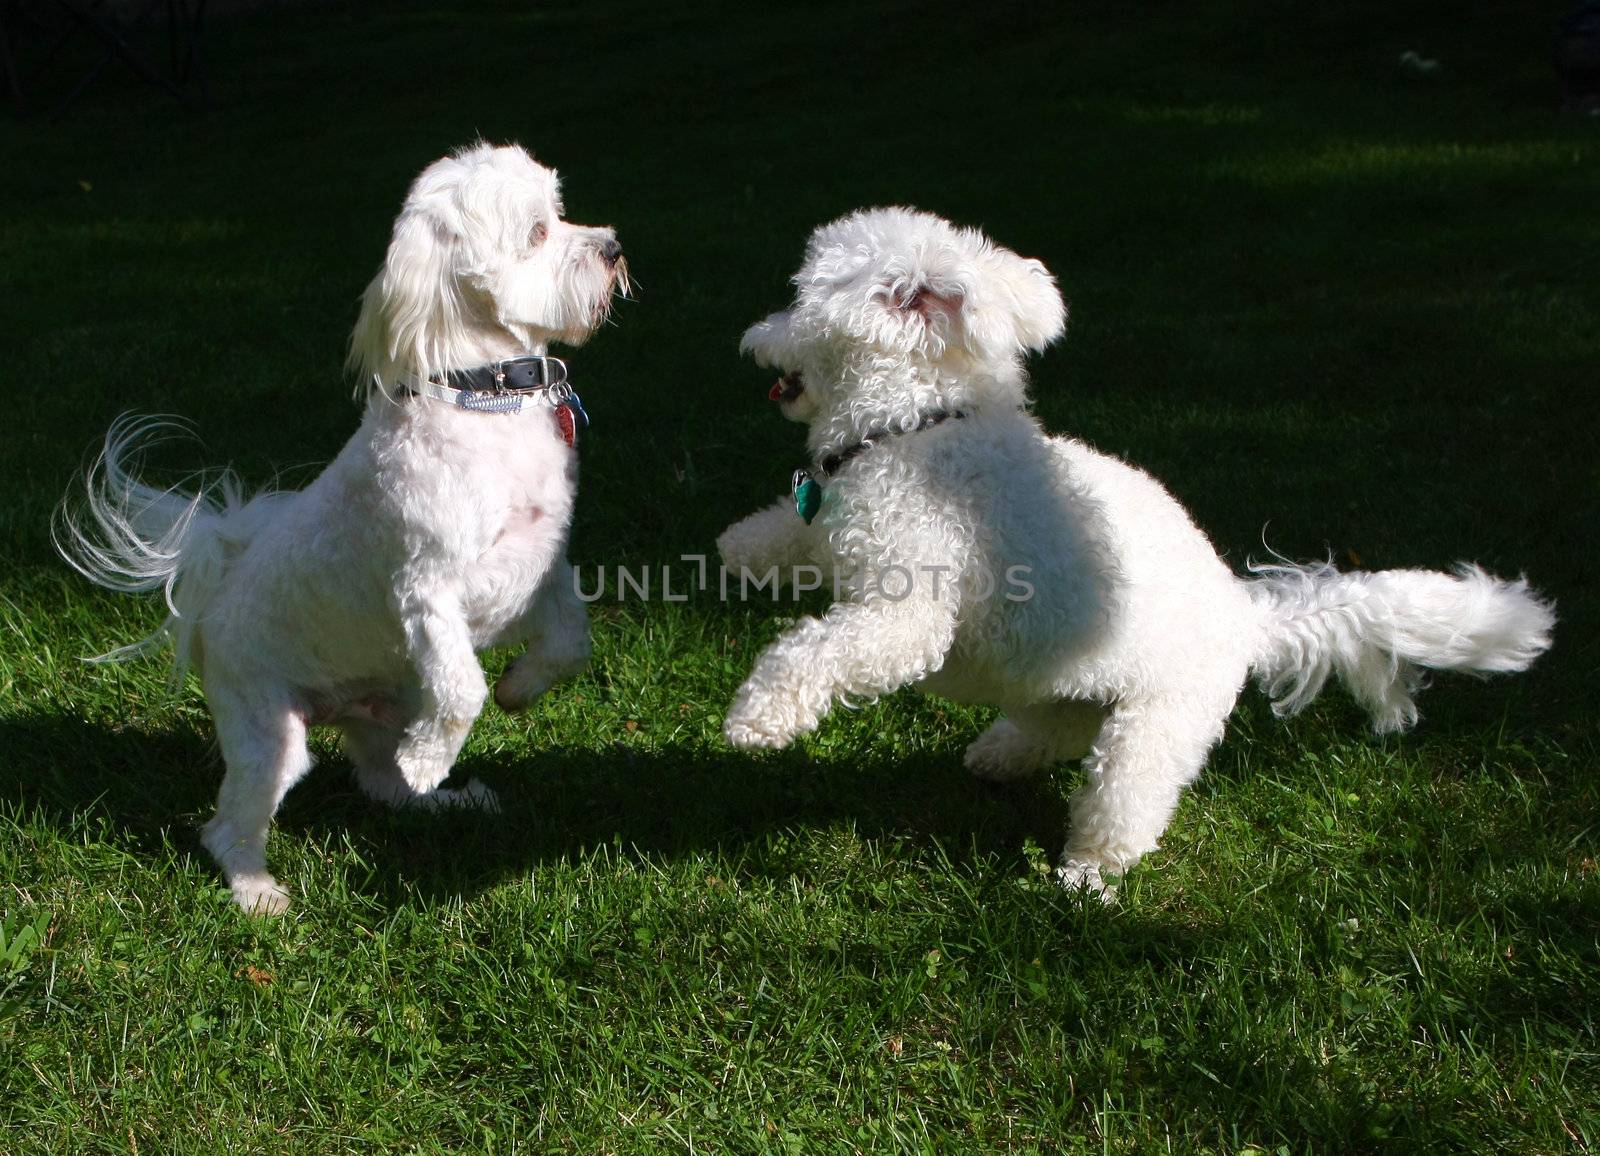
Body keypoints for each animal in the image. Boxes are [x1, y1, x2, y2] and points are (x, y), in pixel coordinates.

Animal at [56, 144, 620, 915]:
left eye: (561, 214)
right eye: (537, 232)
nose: (613, 248)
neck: (484, 403)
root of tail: (215, 594)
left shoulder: (541, 567)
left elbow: (570, 643)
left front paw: (520, 690)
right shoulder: (428, 595)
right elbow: (464, 691)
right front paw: (437, 752)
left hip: (394, 699)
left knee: (381, 782)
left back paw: (443, 799)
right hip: (267, 730)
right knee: (229, 824)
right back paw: (257, 890)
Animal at [720, 204, 1555, 890]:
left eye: (797, 298)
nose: (754, 335)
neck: (918, 429)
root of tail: (1248, 620)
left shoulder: (908, 613)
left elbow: (818, 650)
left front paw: (758, 717)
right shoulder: (834, 526)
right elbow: (793, 532)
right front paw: (738, 549)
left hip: (1156, 730)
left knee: (1123, 801)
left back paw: (1087, 876)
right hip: (1066, 687)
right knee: (1050, 728)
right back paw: (998, 757)